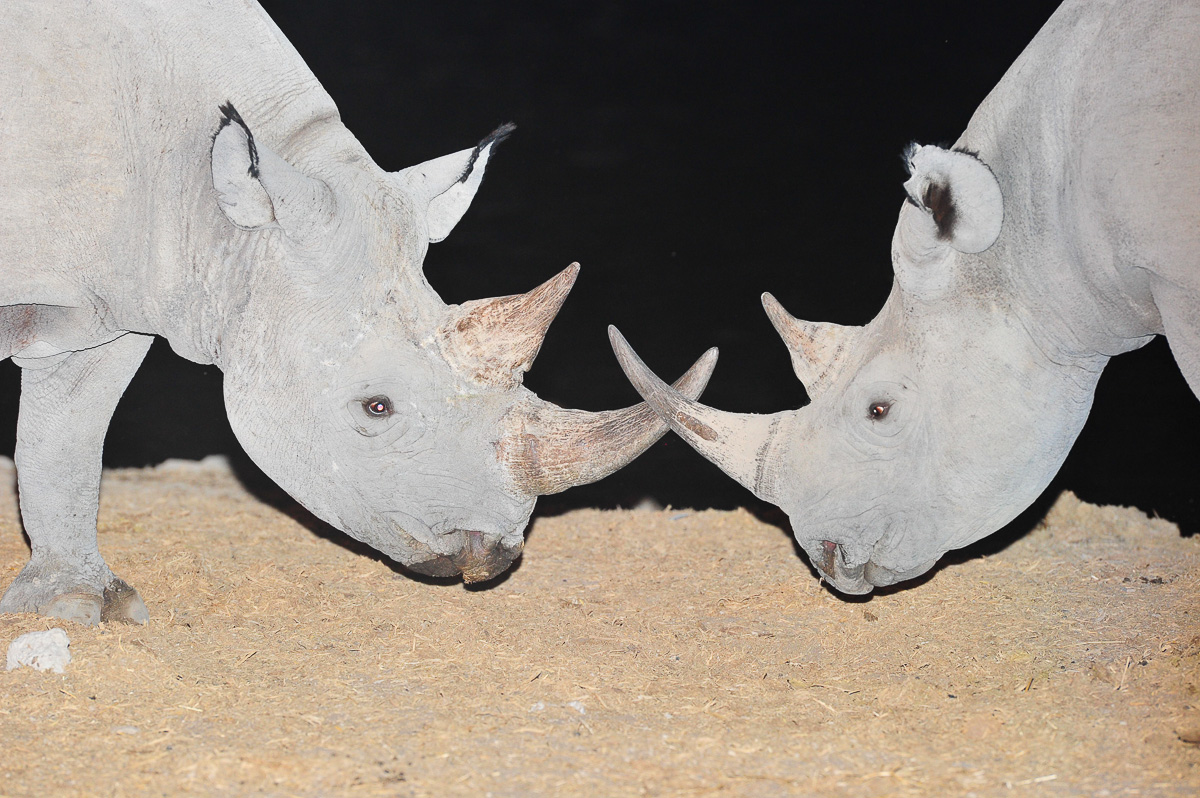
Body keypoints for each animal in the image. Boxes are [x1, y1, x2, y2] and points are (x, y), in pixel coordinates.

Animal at [0, 0, 718, 626]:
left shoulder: (119, 288)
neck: (211, 211)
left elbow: (68, 432)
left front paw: (76, 604)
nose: (493, 555)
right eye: (376, 408)